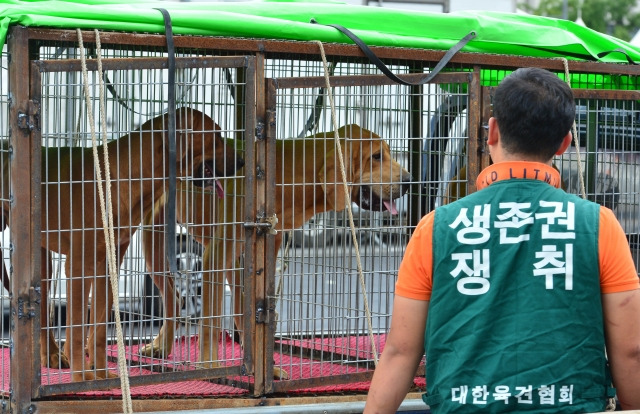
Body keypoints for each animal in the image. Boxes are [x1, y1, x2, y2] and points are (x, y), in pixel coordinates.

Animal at [1, 107, 241, 382]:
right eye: (216, 135)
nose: (242, 162)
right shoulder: (79, 265)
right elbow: (76, 330)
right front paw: (82, 377)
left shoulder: (109, 263)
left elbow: (98, 326)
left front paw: (102, 374)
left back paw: (51, 355)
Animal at [139, 123, 416, 376]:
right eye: (377, 156)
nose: (409, 182)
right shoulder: (215, 257)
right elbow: (211, 323)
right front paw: (209, 367)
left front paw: (264, 367)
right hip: (155, 247)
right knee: (175, 299)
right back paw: (162, 345)